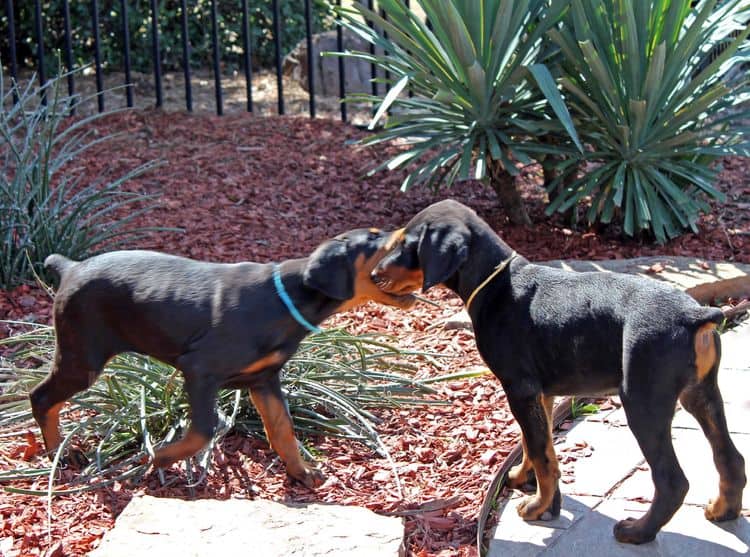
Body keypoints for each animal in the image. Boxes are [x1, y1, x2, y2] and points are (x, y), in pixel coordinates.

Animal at [30, 226, 418, 486]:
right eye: (373, 237)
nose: (411, 232)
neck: (287, 299)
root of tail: (71, 267)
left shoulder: (264, 379)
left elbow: (282, 429)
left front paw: (301, 472)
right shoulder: (200, 370)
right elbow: (204, 430)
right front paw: (158, 457)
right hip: (83, 356)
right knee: (41, 397)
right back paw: (59, 454)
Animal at [374, 200, 748, 544]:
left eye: (407, 245)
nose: (375, 274)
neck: (495, 284)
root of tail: (695, 314)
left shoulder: (519, 389)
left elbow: (542, 454)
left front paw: (539, 507)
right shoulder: (541, 393)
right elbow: (535, 445)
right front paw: (524, 480)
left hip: (643, 401)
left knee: (672, 480)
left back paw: (638, 531)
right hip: (700, 393)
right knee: (730, 457)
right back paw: (723, 510)